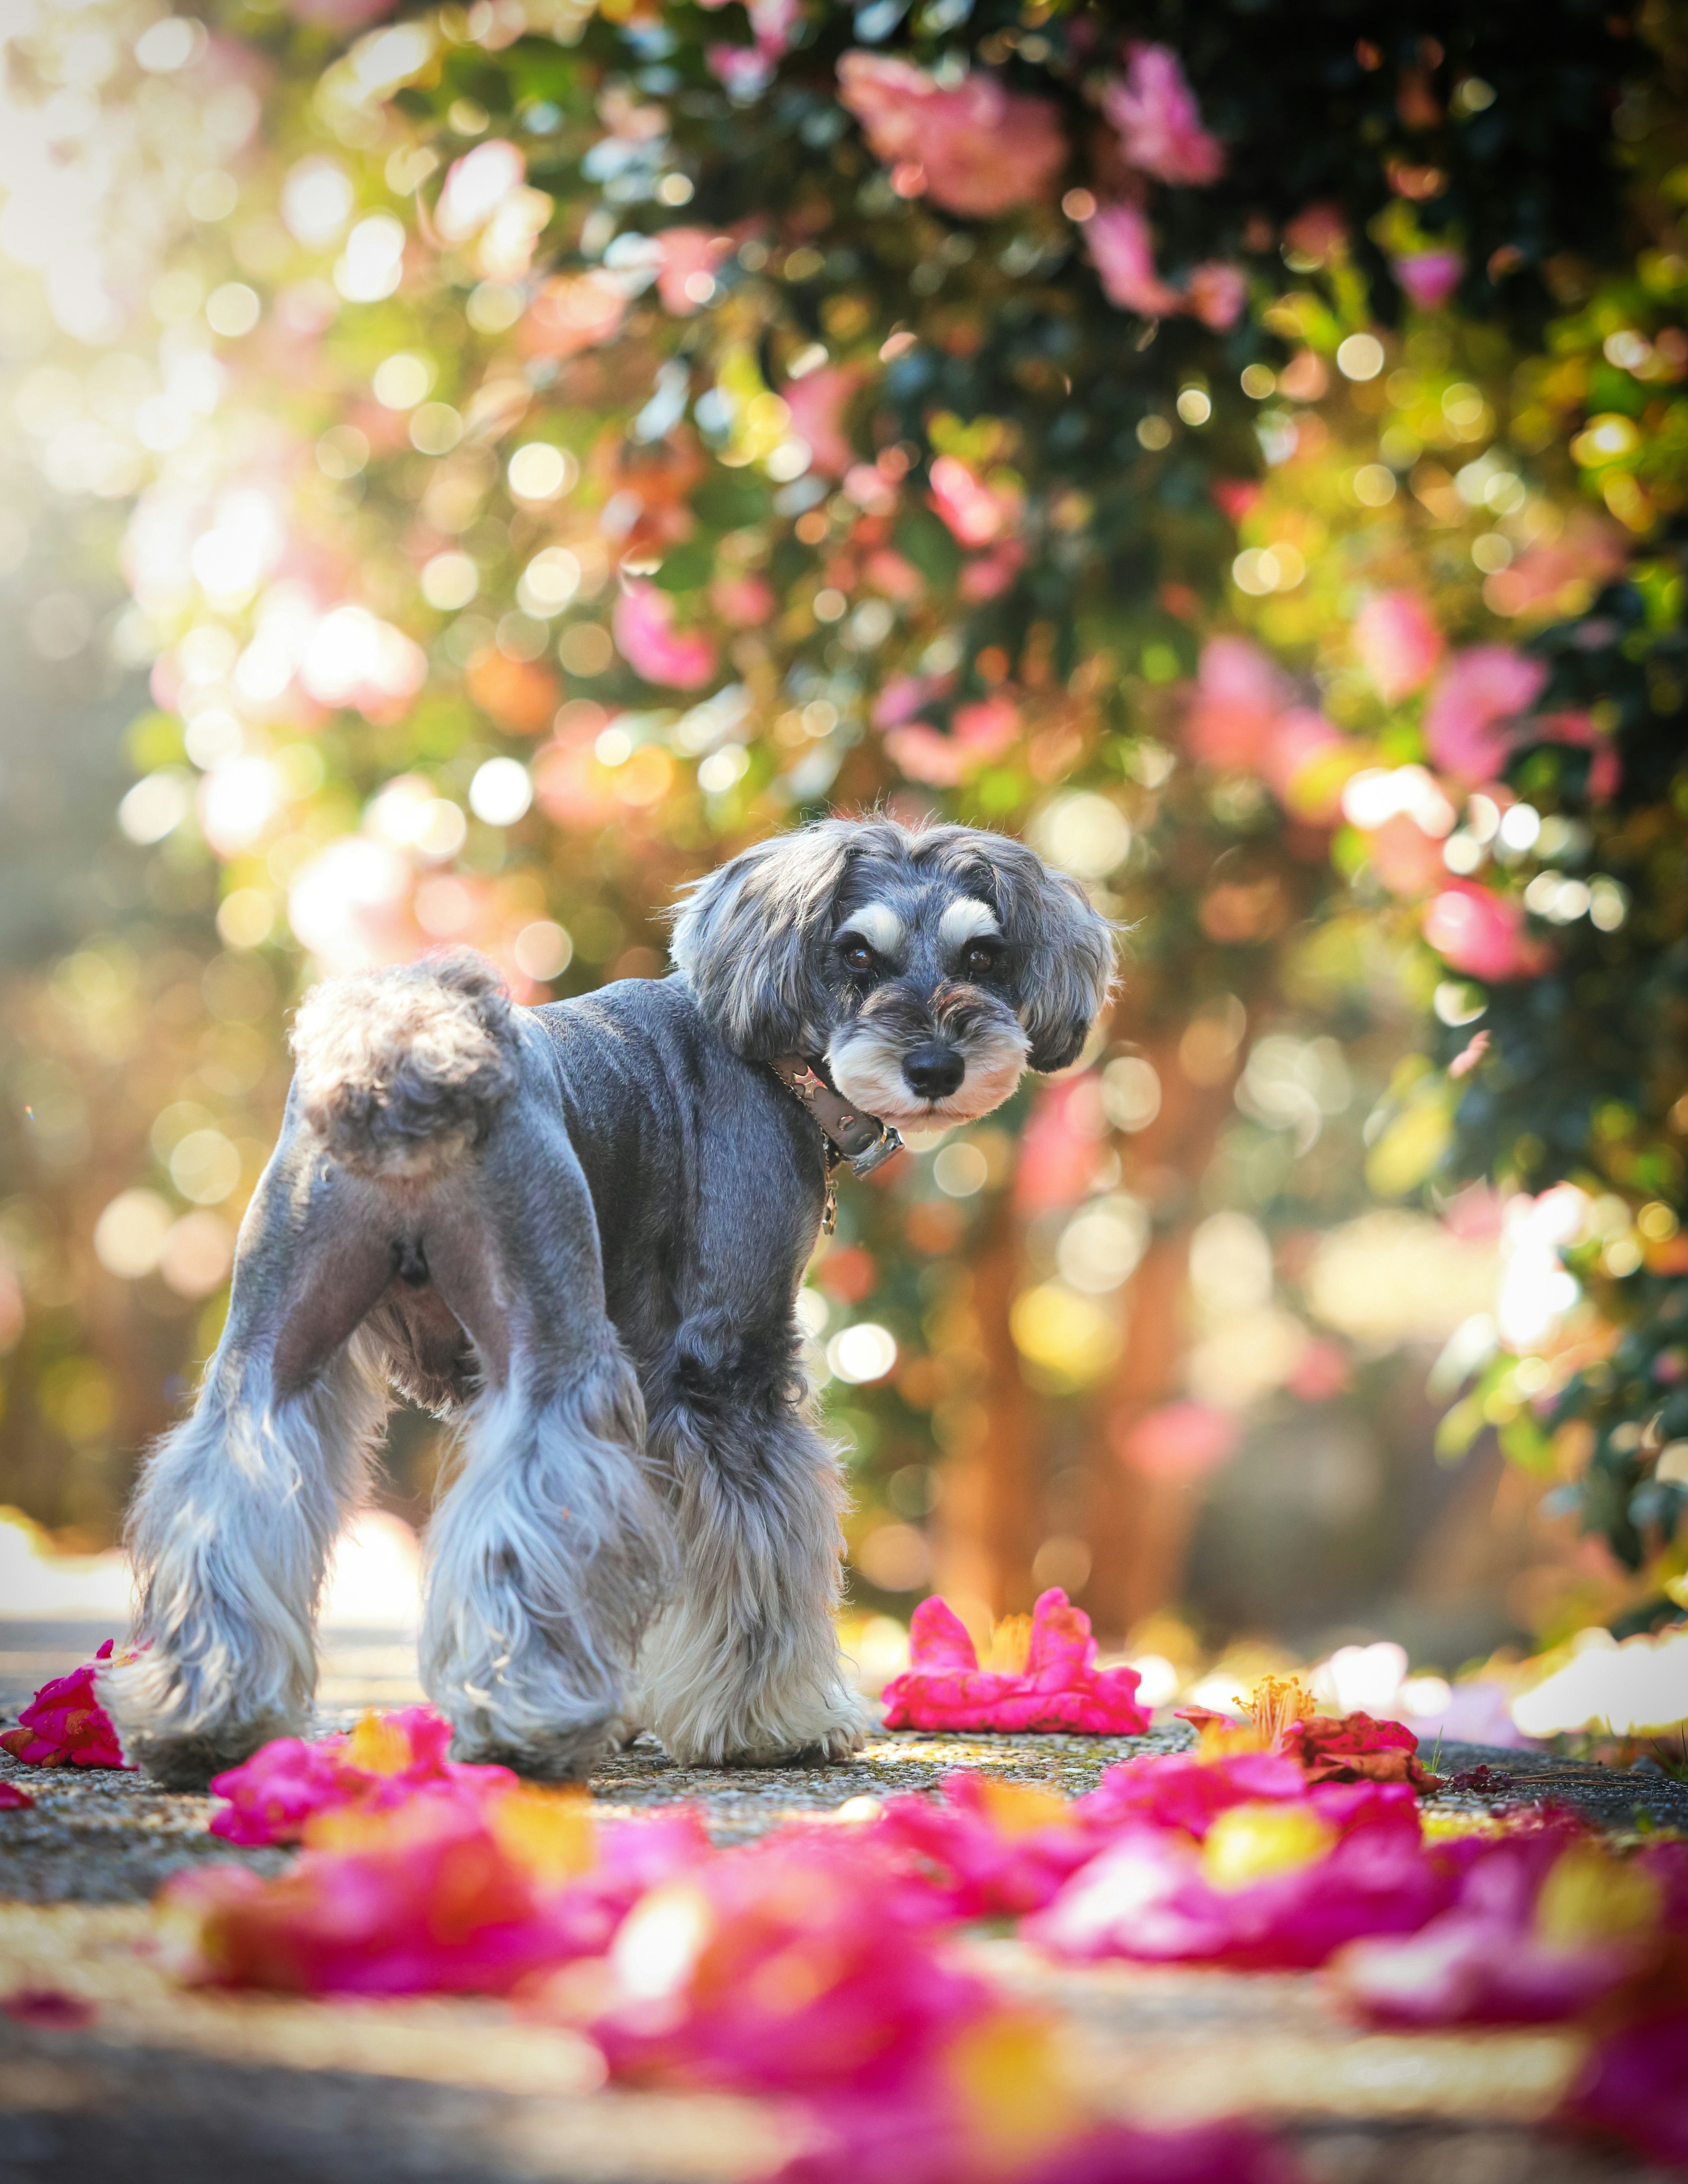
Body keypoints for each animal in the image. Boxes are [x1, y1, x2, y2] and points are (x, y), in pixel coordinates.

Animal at [98, 821, 1113, 1791]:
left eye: (984, 954)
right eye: (856, 953)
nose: (938, 1064)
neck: (769, 1058)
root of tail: (411, 1054)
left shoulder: (659, 1386)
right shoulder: (728, 1367)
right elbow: (759, 1552)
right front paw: (772, 1724)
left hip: (272, 1353)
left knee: (228, 1493)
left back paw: (205, 1715)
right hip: (554, 1350)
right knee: (529, 1516)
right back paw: (525, 1722)